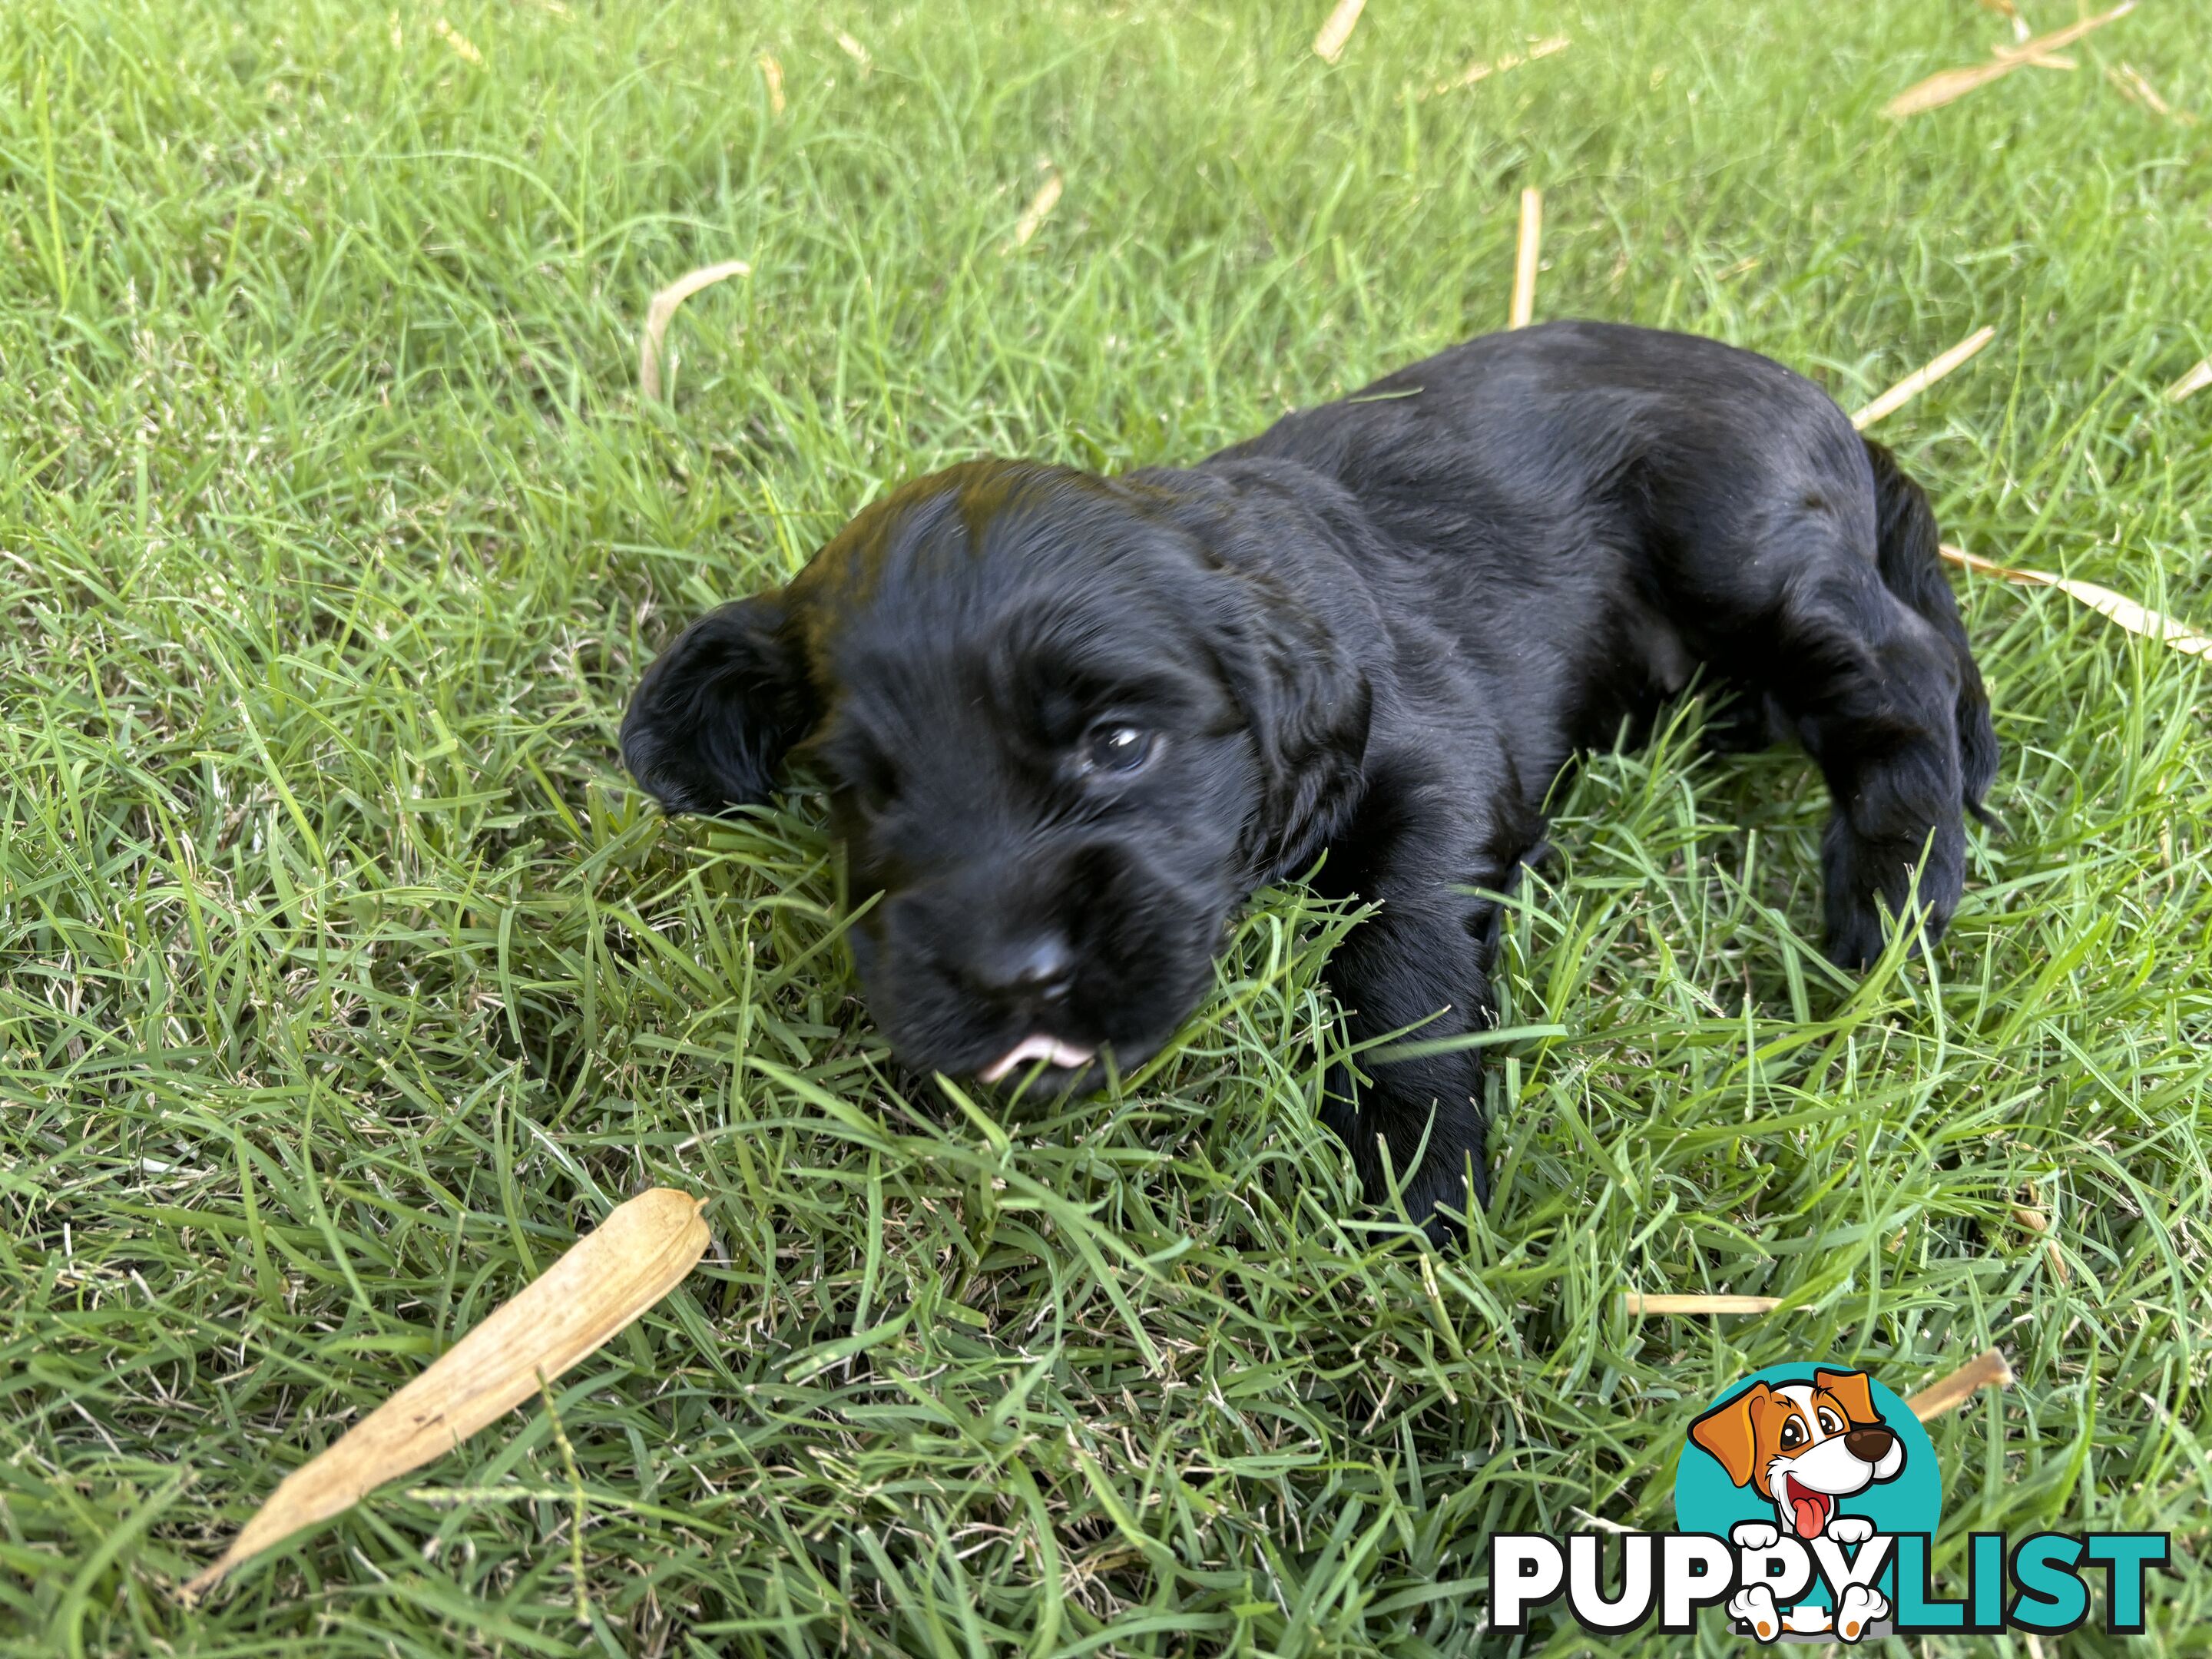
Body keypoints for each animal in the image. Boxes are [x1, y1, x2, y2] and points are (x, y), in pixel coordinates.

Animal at [628, 320, 2008, 1238]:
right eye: (864, 791)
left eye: (1119, 744)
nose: (1010, 979)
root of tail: (1834, 413)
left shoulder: (1439, 756)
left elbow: (1401, 957)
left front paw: (1418, 1173)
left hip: (1739, 542)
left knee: (1904, 665)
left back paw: (1892, 896)